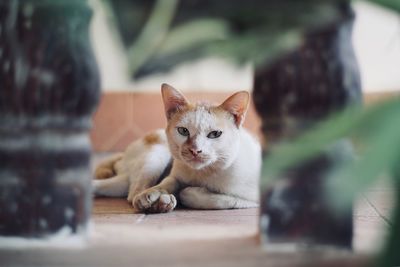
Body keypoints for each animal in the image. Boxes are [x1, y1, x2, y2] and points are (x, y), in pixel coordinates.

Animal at [94, 84, 262, 214]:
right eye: (183, 131)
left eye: (215, 134)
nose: (195, 150)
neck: (203, 173)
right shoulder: (175, 175)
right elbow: (168, 181)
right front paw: (154, 194)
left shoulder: (253, 198)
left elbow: (222, 200)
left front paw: (189, 192)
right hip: (157, 154)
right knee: (133, 193)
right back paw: (158, 201)